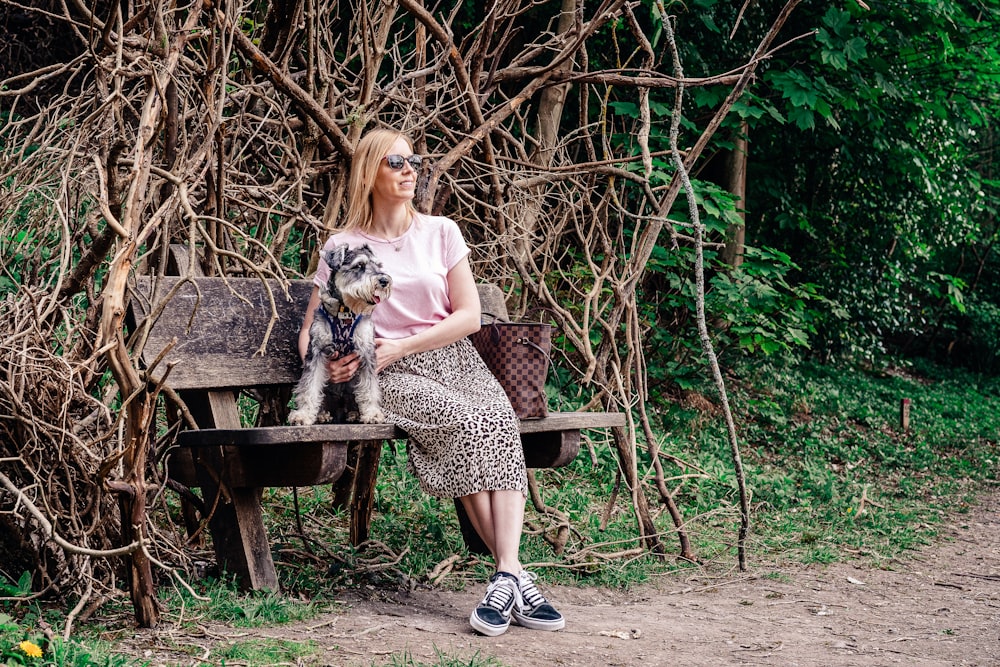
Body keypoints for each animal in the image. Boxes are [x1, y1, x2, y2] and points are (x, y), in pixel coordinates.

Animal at [288, 243, 392, 426]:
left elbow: (369, 386)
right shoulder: (316, 350)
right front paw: (303, 414)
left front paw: (372, 413)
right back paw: (322, 414)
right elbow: (309, 385)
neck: (345, 311)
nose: (384, 281)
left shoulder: (367, 352)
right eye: (359, 266)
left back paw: (354, 413)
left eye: (378, 266)